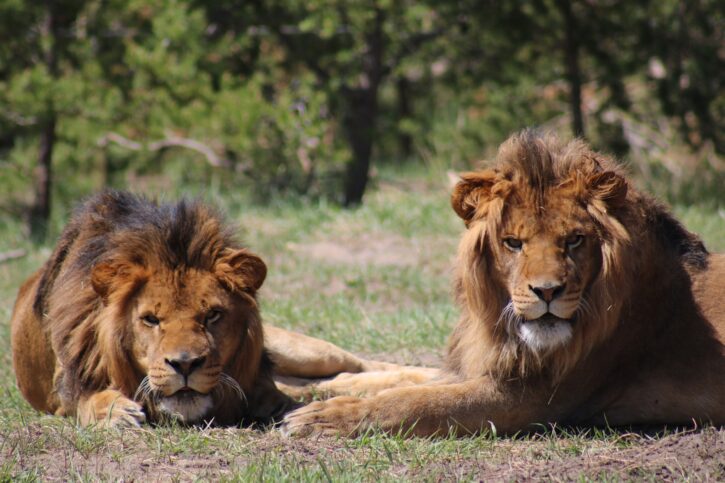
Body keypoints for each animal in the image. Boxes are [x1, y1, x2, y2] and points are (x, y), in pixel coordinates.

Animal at [9, 191, 396, 430]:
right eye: (151, 319)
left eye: (212, 315)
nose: (185, 364)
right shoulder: (62, 391)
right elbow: (83, 401)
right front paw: (115, 411)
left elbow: (279, 398)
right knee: (339, 378)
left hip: (302, 350)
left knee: (358, 367)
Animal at [282, 130, 724, 438]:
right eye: (513, 243)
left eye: (574, 240)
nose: (547, 292)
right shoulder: (476, 363)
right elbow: (398, 379)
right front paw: (303, 392)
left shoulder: (531, 399)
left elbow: (413, 402)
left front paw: (325, 417)